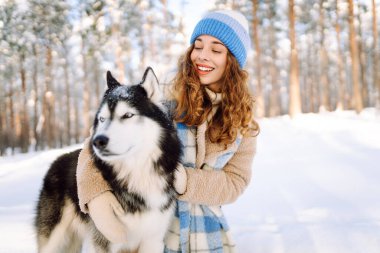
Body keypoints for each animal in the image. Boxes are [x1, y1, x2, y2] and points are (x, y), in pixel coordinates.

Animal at [36, 67, 183, 253]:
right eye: (102, 119)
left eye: (127, 115)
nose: (97, 141)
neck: (138, 173)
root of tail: (56, 162)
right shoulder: (104, 240)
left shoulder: (153, 240)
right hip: (53, 240)